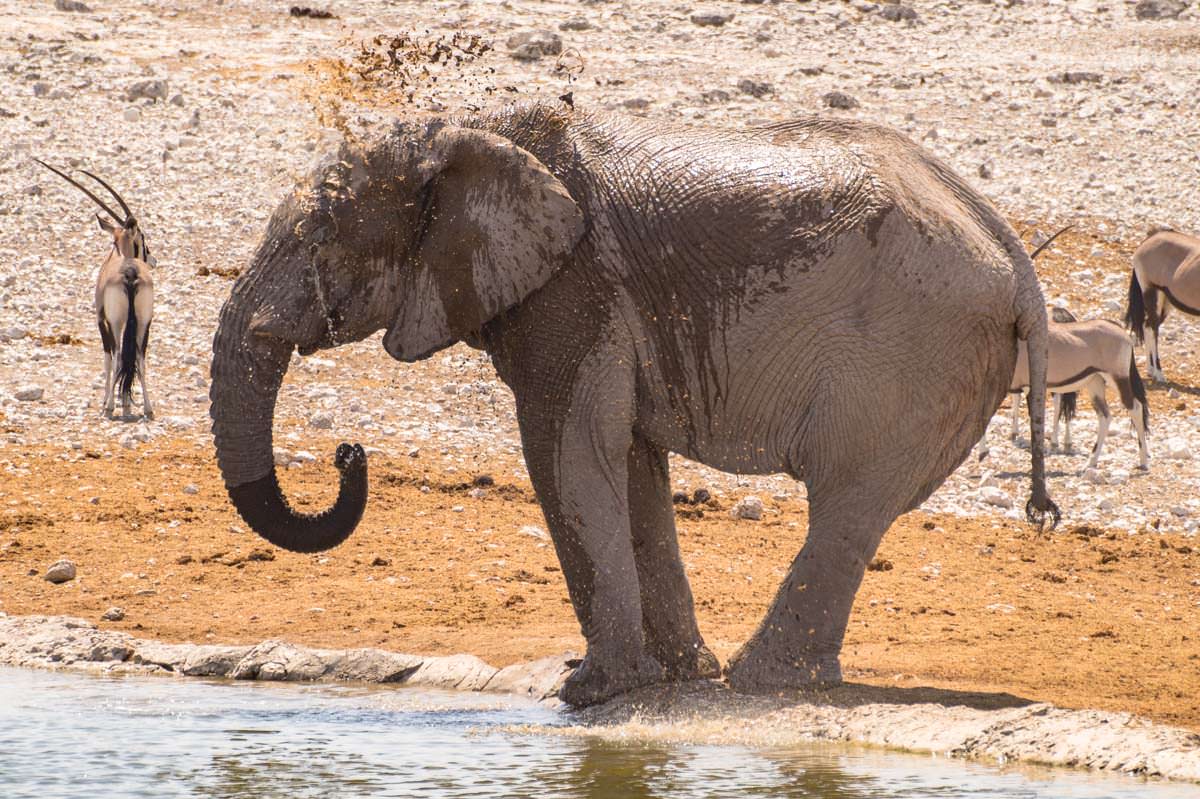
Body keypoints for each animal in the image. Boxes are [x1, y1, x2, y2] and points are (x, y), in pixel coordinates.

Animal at [37, 163, 156, 422]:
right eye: (142, 237)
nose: (152, 259)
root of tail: (130, 271)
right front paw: (127, 404)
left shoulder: (101, 319)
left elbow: (108, 358)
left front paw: (107, 403)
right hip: (144, 321)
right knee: (139, 356)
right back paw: (147, 408)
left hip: (117, 321)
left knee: (118, 353)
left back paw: (111, 406)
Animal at [213, 101, 1060, 705]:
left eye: (320, 232)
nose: (348, 452)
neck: (472, 130)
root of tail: (1016, 258)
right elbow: (627, 458)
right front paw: (674, 676)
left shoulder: (572, 289)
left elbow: (564, 448)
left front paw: (587, 693)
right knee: (856, 509)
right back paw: (756, 678)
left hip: (910, 352)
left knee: (846, 501)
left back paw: (762, 682)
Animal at [974, 303, 1152, 467]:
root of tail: (1122, 333)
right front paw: (982, 452)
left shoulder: (1028, 387)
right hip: (1095, 383)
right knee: (1105, 416)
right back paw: (1092, 461)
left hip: (1117, 378)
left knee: (1135, 407)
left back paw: (1143, 461)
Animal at [1123, 226, 1200, 383]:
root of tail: (1151, 237)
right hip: (1152, 292)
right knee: (1153, 329)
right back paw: (1159, 373)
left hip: (1166, 301)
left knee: (1147, 326)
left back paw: (1151, 370)